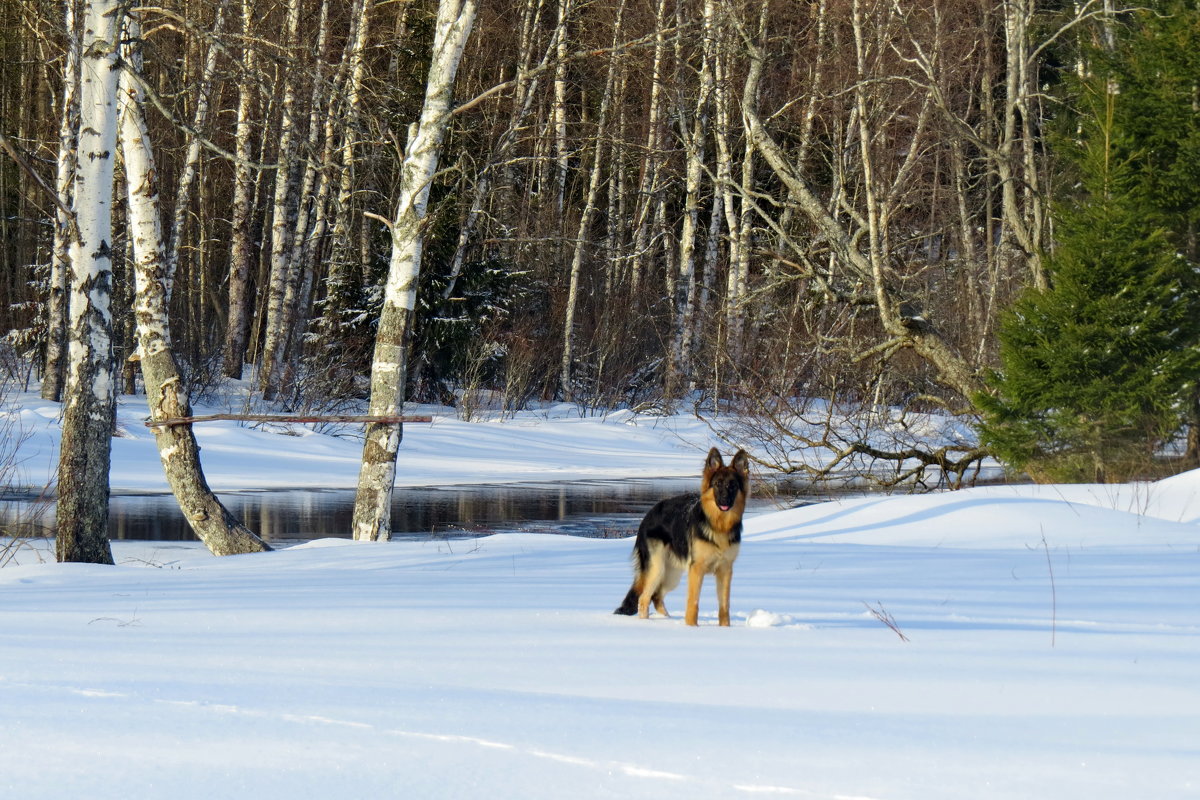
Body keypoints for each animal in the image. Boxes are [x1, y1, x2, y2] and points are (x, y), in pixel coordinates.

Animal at [614, 450, 744, 623]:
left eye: (733, 486)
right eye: (717, 484)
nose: (724, 501)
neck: (718, 525)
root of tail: (647, 516)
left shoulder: (725, 571)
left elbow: (724, 606)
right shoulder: (696, 570)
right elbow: (693, 602)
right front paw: (691, 626)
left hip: (672, 574)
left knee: (656, 597)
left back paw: (668, 620)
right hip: (657, 569)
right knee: (644, 598)